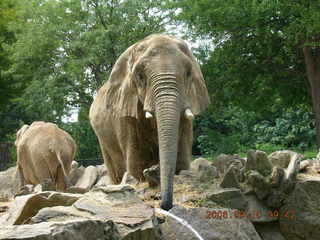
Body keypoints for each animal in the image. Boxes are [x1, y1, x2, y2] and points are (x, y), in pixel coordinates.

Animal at [90, 34, 210, 210]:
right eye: (140, 76)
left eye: (188, 73)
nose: (162, 204)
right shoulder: (125, 112)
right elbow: (136, 165)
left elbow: (182, 161)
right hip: (102, 139)